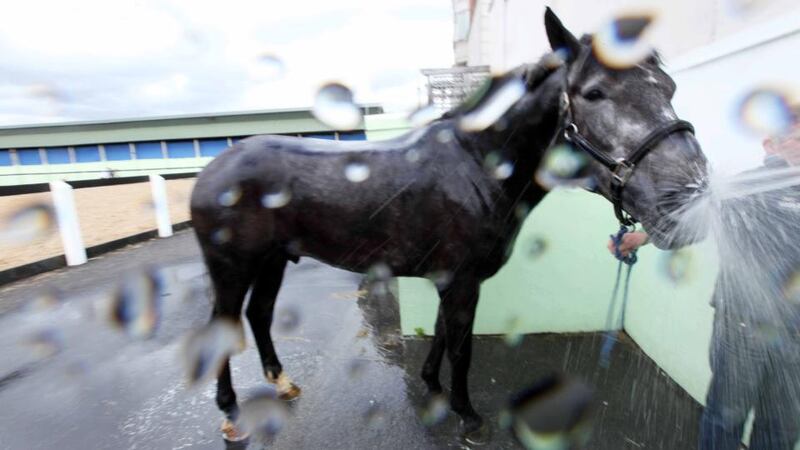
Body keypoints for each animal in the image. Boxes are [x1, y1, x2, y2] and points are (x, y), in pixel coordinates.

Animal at [189, 7, 708, 444]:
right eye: (595, 92)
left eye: (669, 88)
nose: (689, 202)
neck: (478, 165)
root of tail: (215, 168)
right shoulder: (462, 282)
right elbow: (462, 348)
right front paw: (468, 416)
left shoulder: (449, 279)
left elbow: (441, 334)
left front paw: (432, 388)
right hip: (232, 267)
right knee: (224, 328)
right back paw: (232, 416)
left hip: (273, 260)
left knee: (260, 315)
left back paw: (282, 382)